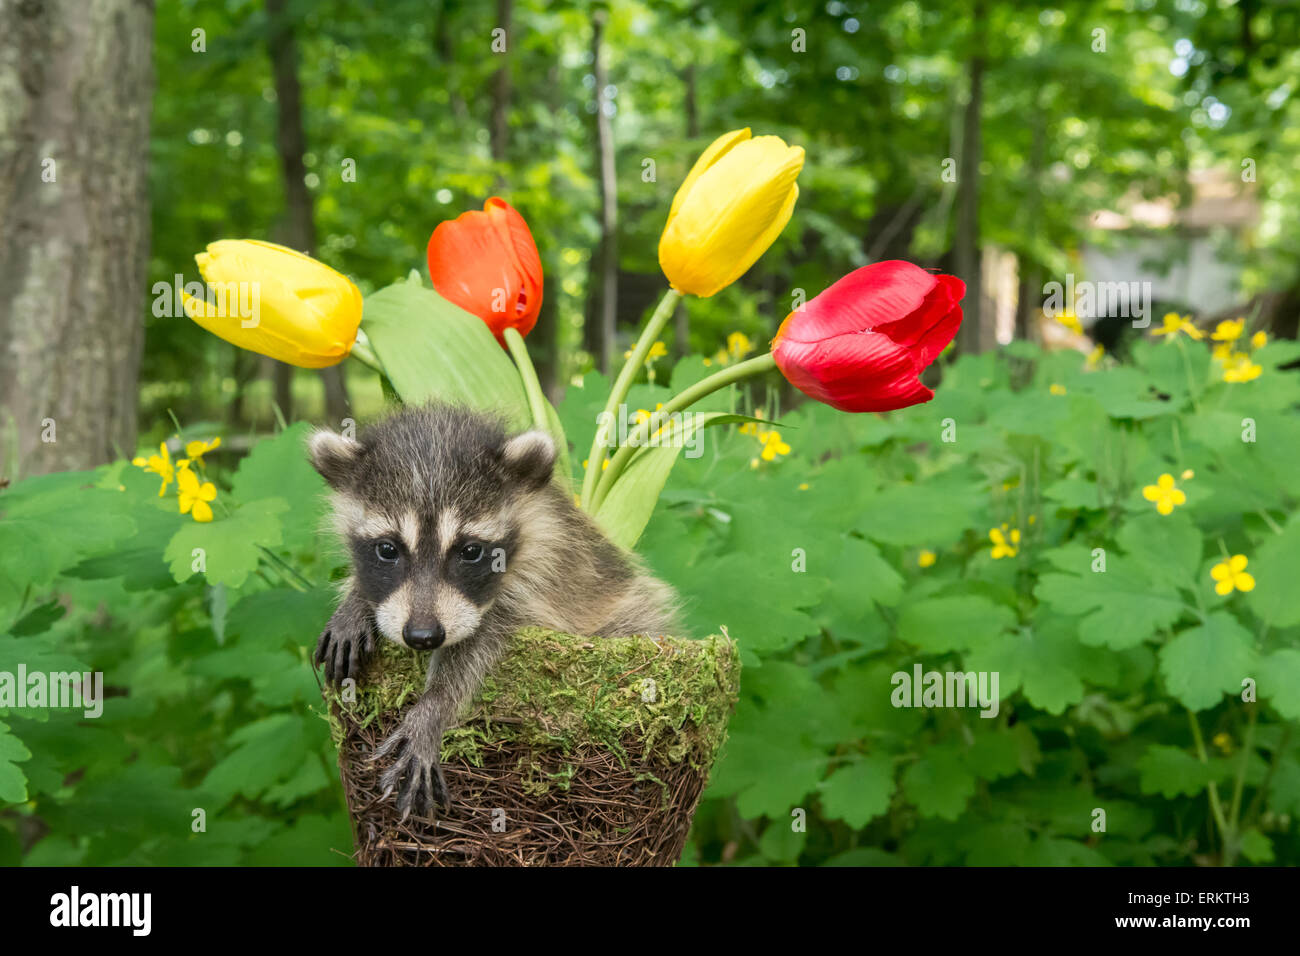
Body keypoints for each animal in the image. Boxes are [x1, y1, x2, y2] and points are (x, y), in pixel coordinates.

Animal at [308, 408, 681, 816]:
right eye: (387, 549)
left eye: (470, 551)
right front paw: (357, 601)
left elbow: (482, 639)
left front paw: (434, 705)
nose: (423, 636)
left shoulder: (543, 577)